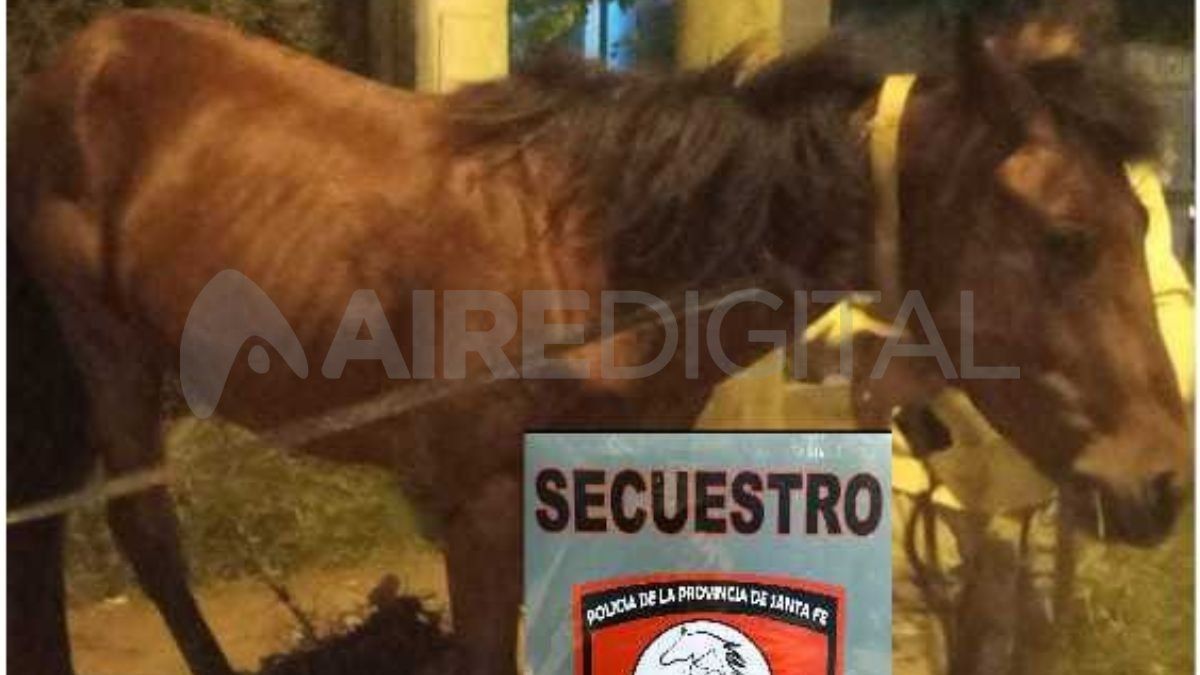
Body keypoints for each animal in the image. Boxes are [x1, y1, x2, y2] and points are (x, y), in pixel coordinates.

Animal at [8, 8, 1188, 675]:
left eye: (1146, 220)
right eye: (1068, 236)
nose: (1161, 483)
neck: (608, 255)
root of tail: (76, 63)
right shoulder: (482, 511)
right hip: (107, 350)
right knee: (145, 537)